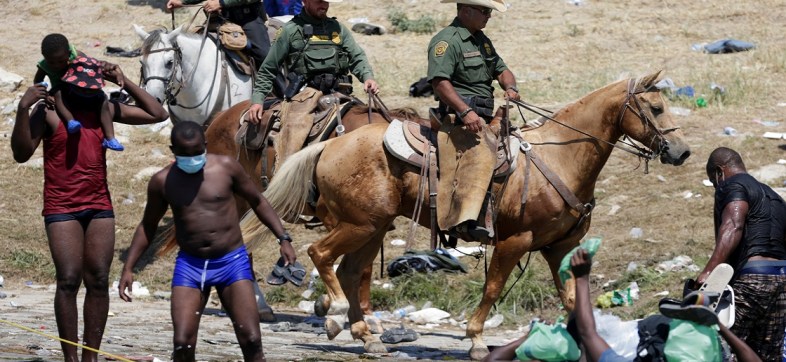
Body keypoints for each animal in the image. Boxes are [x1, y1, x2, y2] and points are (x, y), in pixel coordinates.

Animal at [237, 72, 688, 358]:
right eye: (655, 107)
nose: (682, 152)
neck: (559, 157)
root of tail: (329, 144)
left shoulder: (560, 248)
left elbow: (573, 299)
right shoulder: (514, 241)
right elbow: (492, 289)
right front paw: (475, 340)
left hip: (372, 226)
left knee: (350, 271)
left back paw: (367, 337)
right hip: (358, 224)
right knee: (321, 255)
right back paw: (331, 316)